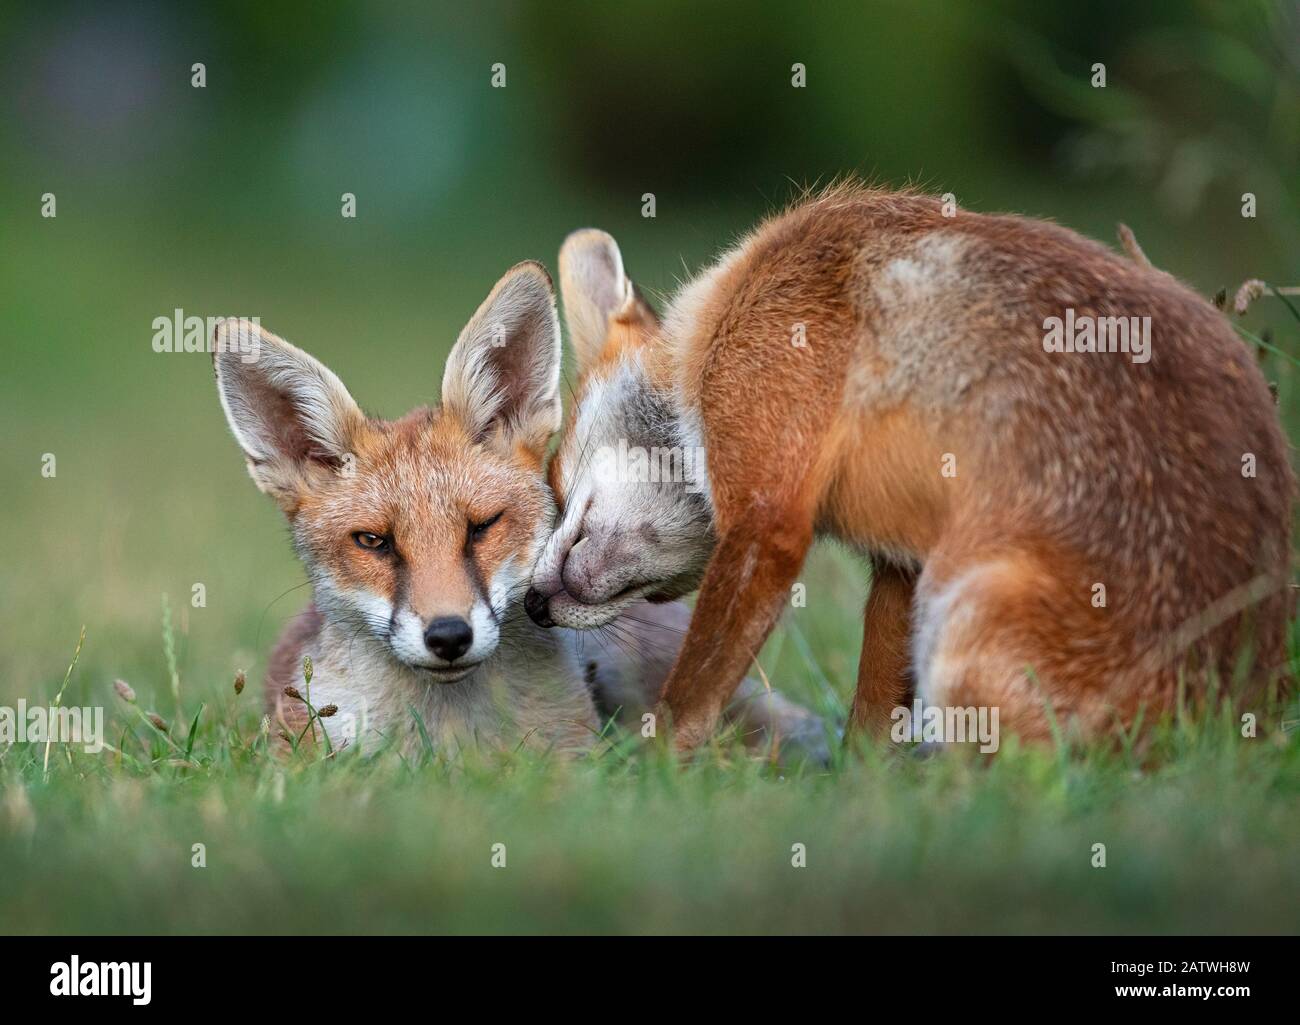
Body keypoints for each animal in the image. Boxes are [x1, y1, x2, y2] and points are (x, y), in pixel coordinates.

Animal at [525, 182, 1295, 752]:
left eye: (557, 487)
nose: (529, 604)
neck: (719, 320)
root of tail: (1245, 709)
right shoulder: (903, 568)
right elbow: (871, 725)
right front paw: (860, 799)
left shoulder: (769, 520)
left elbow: (688, 699)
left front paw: (647, 777)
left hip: (964, 616)